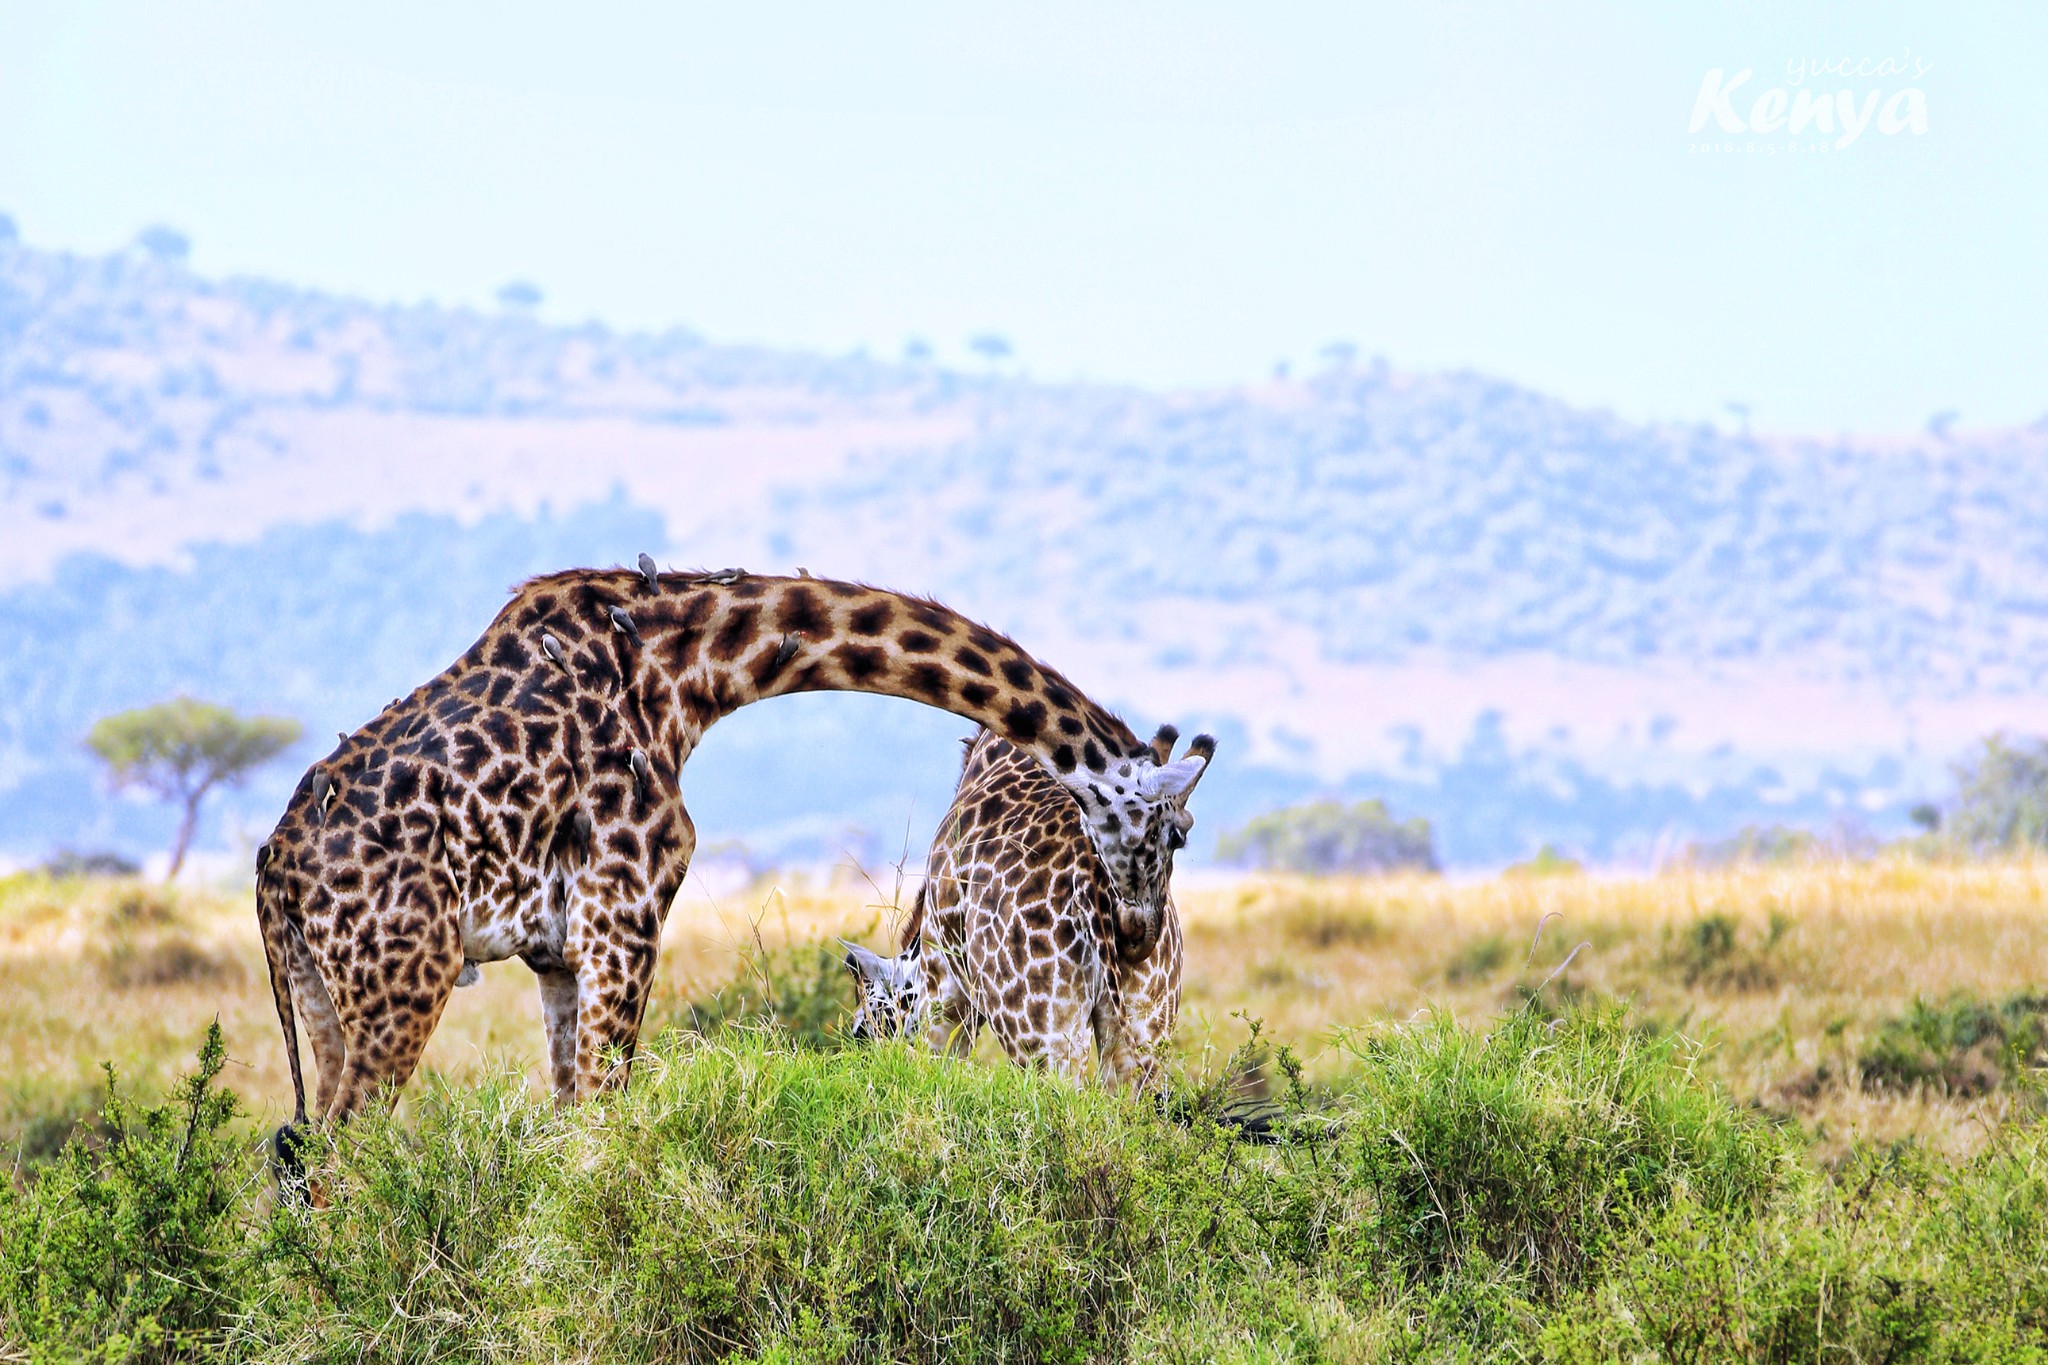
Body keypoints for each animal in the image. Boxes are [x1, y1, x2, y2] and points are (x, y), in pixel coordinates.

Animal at [844, 723, 1213, 1092]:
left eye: (868, 1023)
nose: (862, 1058)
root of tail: (1093, 878)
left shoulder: (943, 989)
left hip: (1040, 1038)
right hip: (1147, 1023)